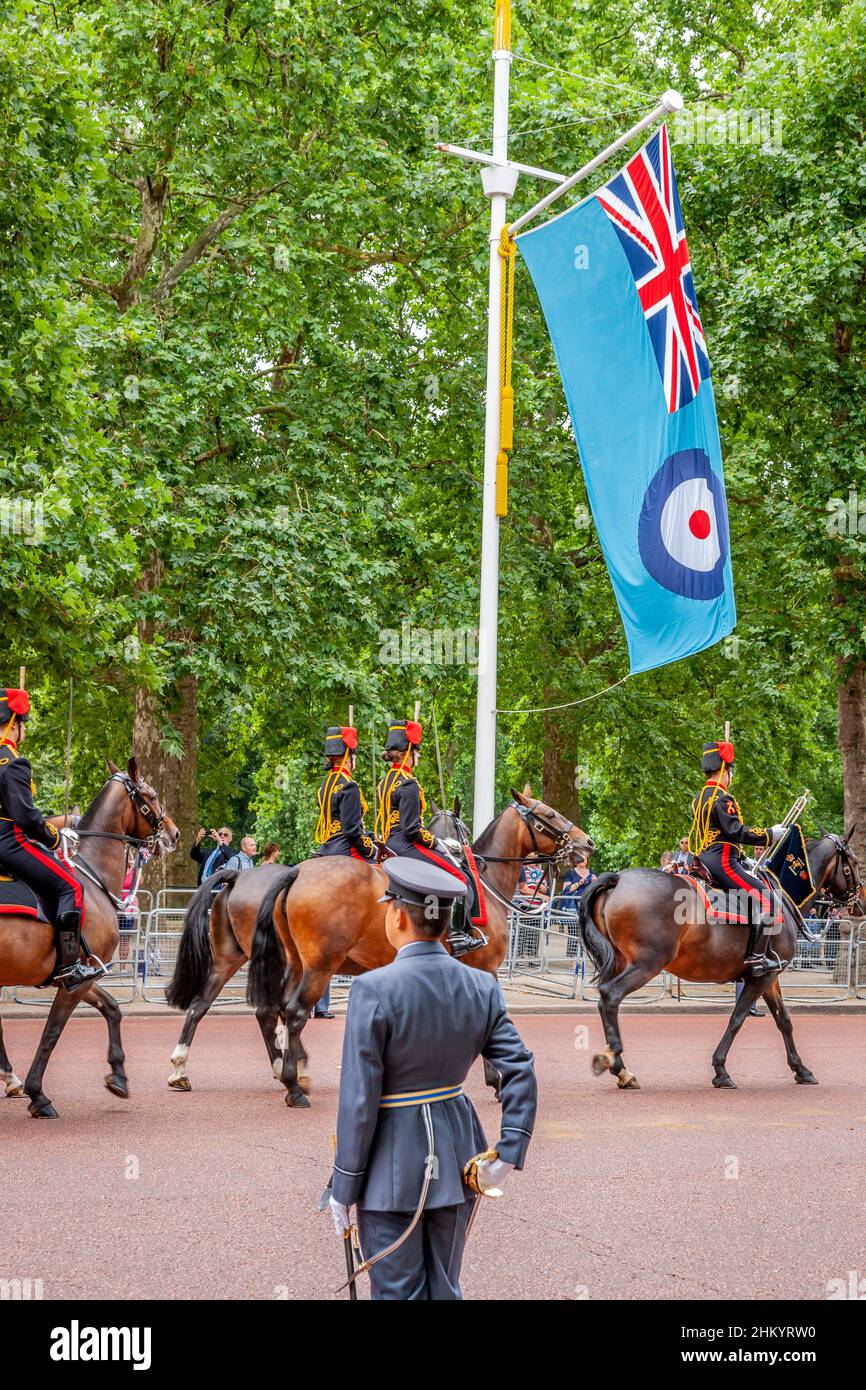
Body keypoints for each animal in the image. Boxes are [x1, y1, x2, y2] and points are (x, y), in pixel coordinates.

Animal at [0, 761, 177, 1117]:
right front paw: (38, 1095)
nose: (174, 833)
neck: (92, 878)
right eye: (151, 795)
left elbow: (113, 1008)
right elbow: (51, 1033)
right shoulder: (76, 980)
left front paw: (118, 1076)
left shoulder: (83, 975)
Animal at [165, 795, 592, 1106]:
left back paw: (192, 1069)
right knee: (291, 1012)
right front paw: (497, 1080)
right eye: (548, 814)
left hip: (249, 959)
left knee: (219, 1006)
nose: (586, 844)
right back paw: (293, 1085)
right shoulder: (484, 968)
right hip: (315, 964)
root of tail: (294, 872)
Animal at [578, 822, 861, 1095]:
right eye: (856, 861)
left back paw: (621, 1069)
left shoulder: (770, 977)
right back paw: (616, 1064)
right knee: (610, 995)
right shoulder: (762, 976)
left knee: (604, 1001)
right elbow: (737, 1018)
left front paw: (801, 1069)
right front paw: (721, 1070)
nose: (860, 902)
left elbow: (784, 1021)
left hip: (621, 962)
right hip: (647, 964)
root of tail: (618, 879)